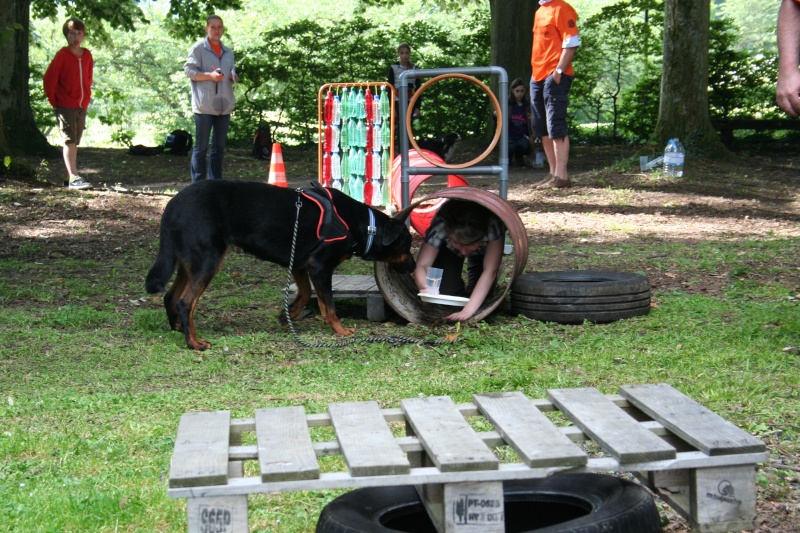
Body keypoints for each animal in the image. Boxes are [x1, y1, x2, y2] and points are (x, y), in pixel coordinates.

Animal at [146, 181, 416, 352]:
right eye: (407, 244)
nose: (414, 267)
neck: (363, 225)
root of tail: (173, 205)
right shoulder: (319, 266)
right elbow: (328, 304)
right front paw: (340, 330)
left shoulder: (299, 263)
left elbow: (305, 294)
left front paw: (288, 314)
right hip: (208, 259)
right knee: (185, 302)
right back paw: (194, 343)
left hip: (188, 261)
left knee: (171, 296)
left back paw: (178, 328)